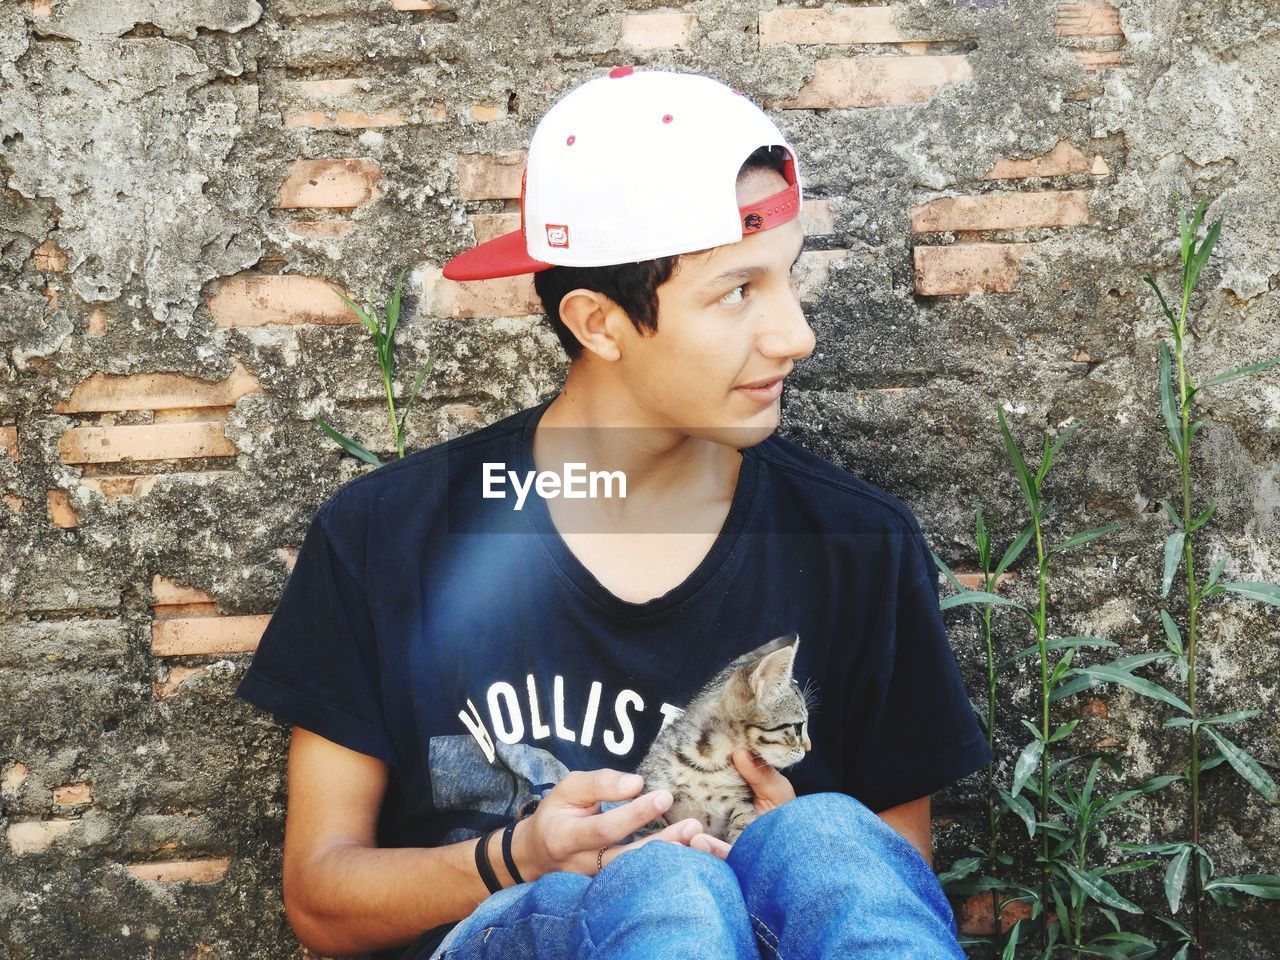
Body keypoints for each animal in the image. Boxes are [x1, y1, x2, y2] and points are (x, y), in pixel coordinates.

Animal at [632, 634, 819, 844]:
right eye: (798, 727)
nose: (809, 748)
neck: (711, 762)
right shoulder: (650, 791)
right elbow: (650, 831)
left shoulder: (740, 801)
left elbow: (743, 820)